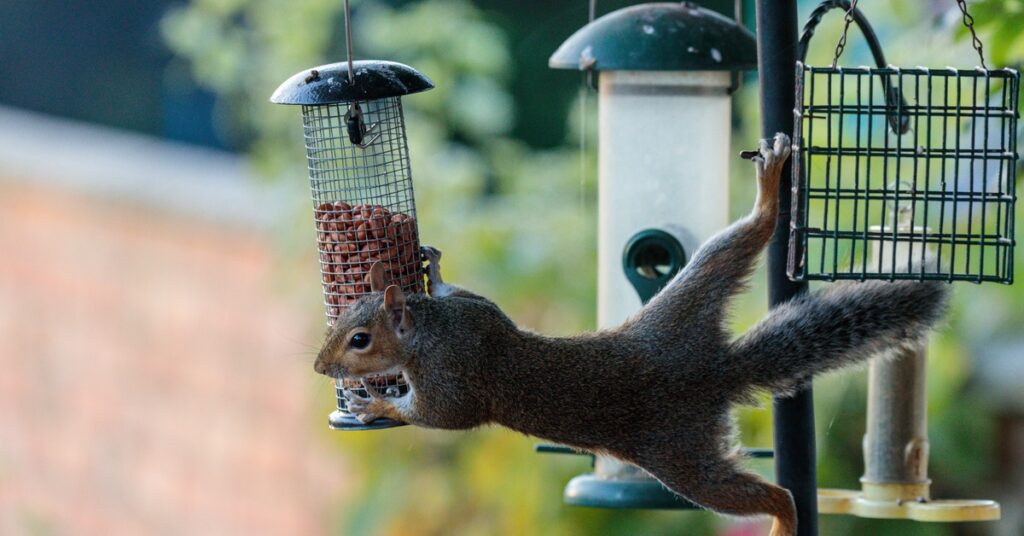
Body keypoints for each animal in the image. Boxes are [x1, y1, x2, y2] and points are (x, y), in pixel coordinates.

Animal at [313, 133, 950, 536]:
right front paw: (435, 269)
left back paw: (781, 523)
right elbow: (473, 298)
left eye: (360, 339)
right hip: (694, 296)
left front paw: (379, 406)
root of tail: (715, 371)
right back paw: (769, 194)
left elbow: (440, 417)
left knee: (774, 496)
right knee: (747, 238)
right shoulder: (479, 316)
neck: (431, 332)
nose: (321, 367)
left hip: (682, 458)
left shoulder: (456, 381)